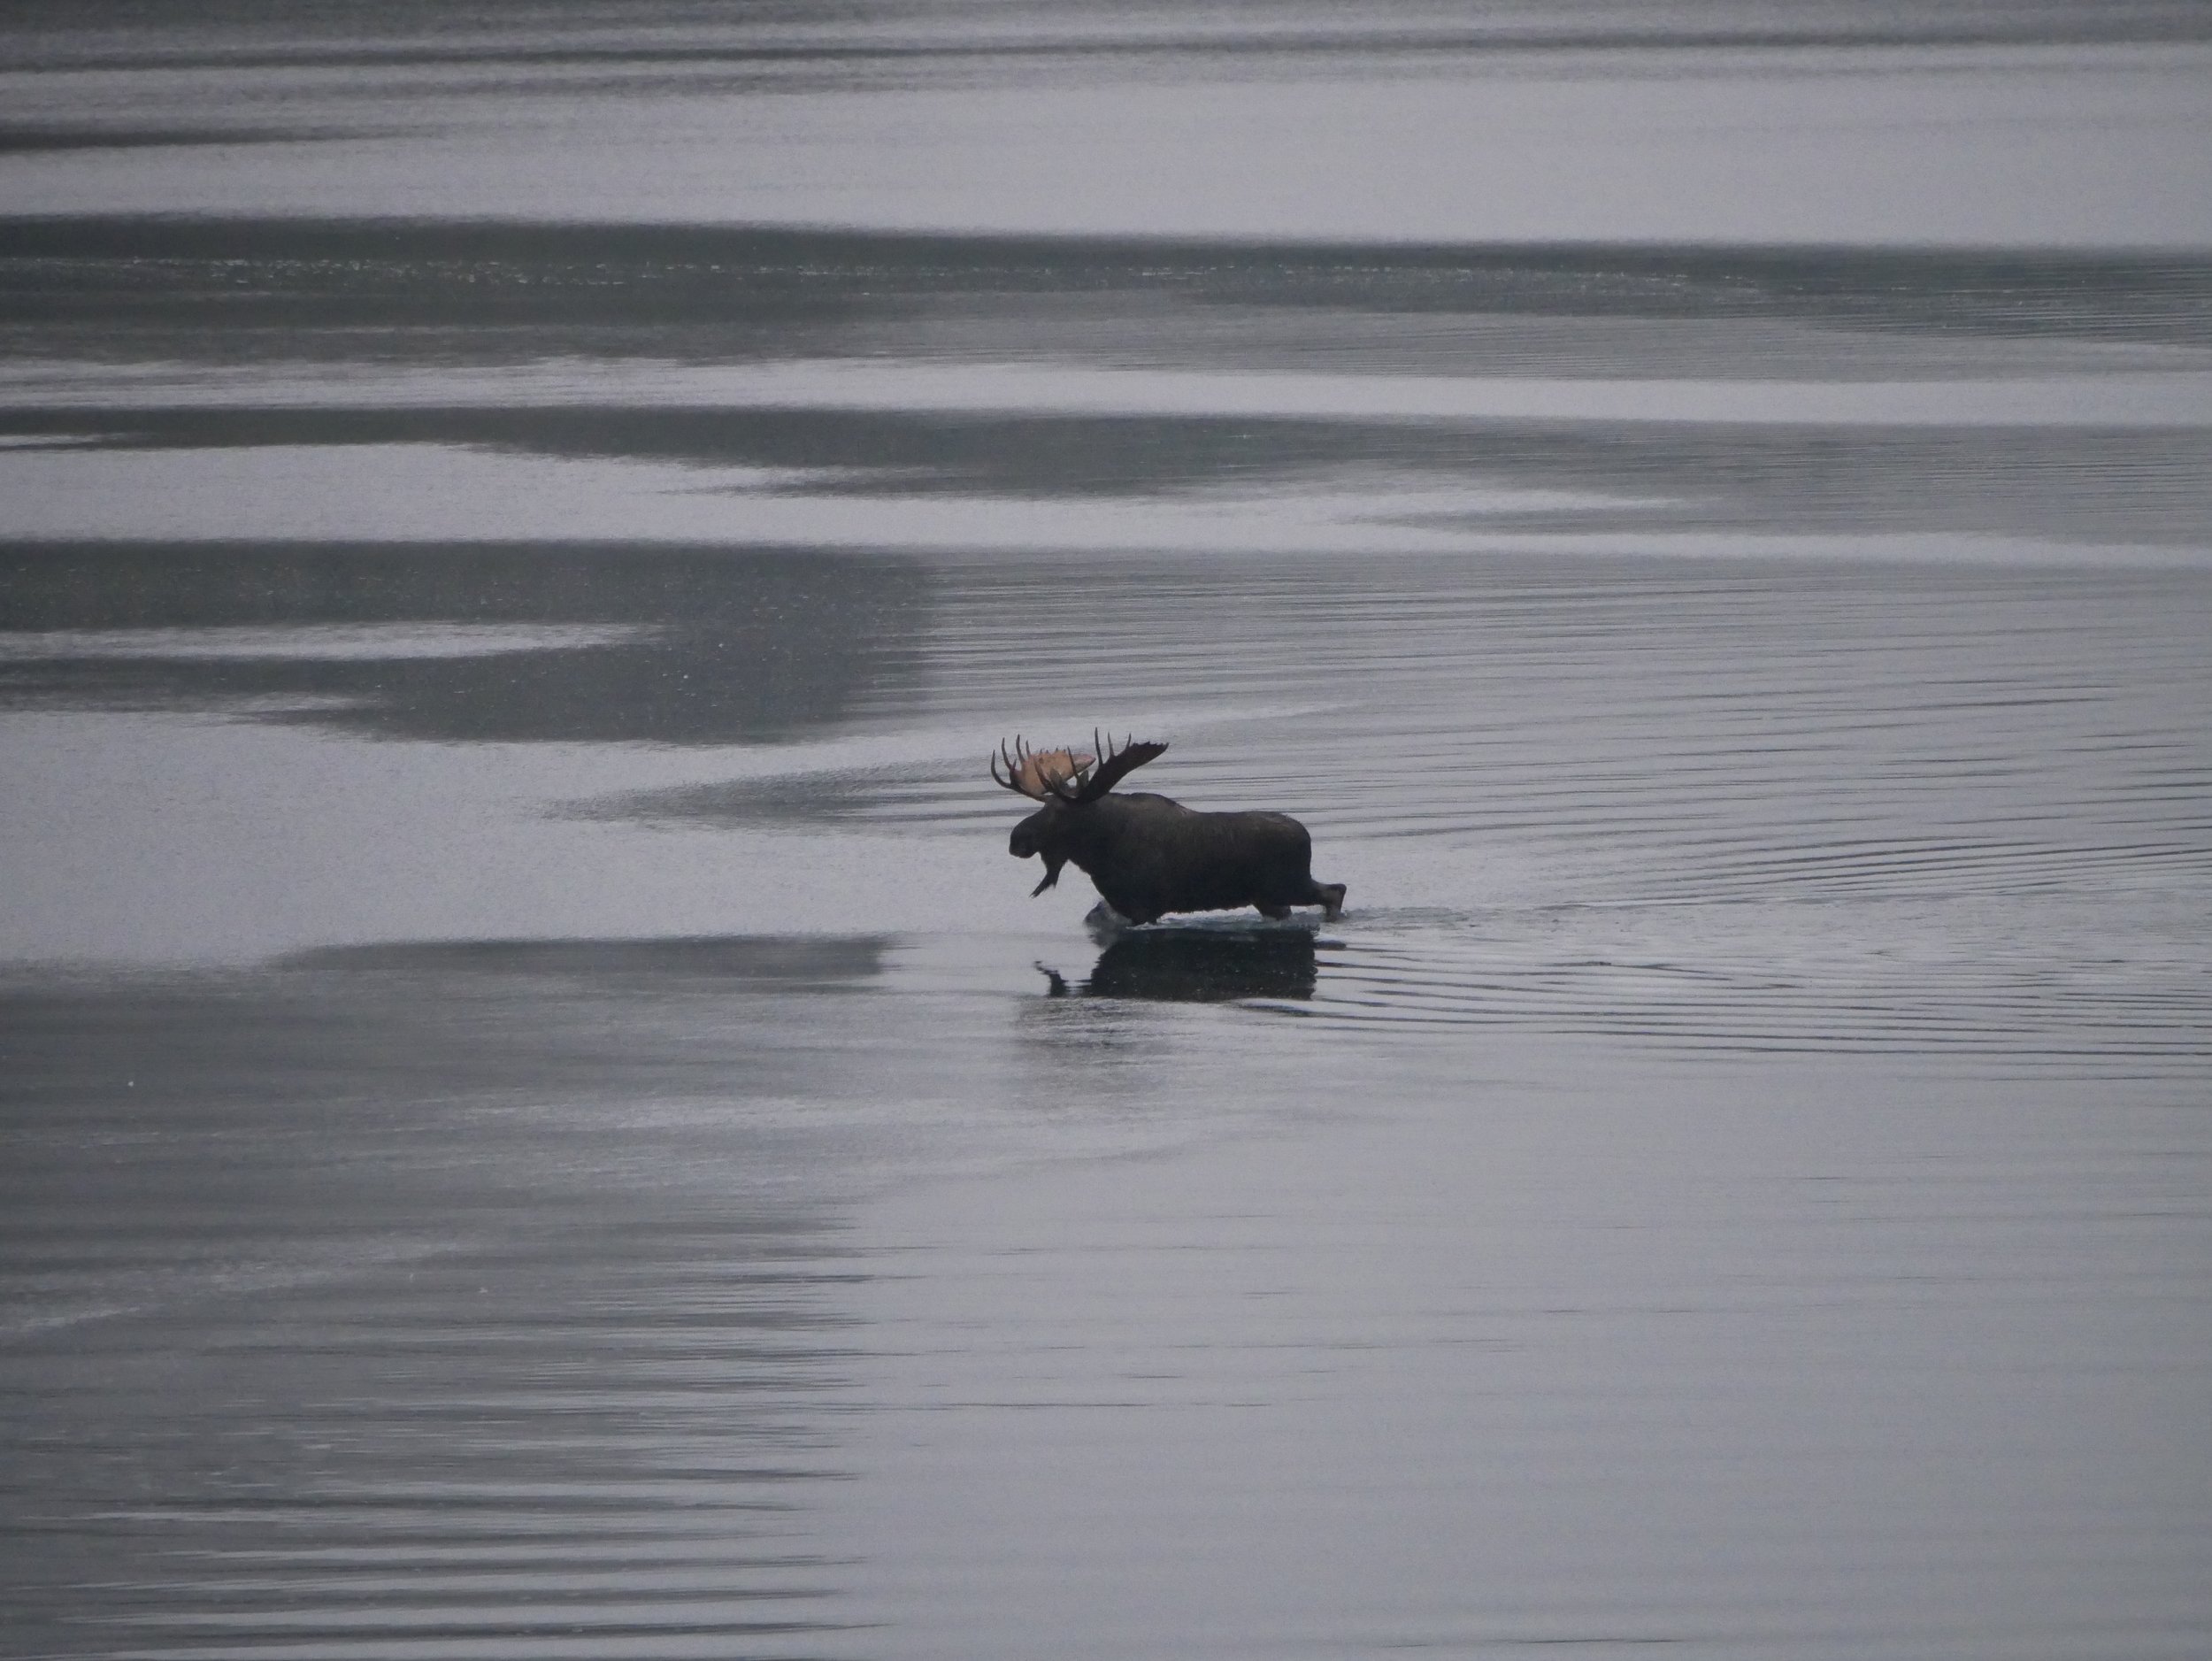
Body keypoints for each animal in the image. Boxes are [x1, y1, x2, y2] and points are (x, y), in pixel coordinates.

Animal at [991, 733, 1346, 927]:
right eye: (1043, 806)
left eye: (1059, 813)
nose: (1017, 839)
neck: (1098, 855)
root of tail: (1306, 837)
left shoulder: (1142, 906)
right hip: (1268, 897)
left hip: (1287, 884)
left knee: (1336, 890)